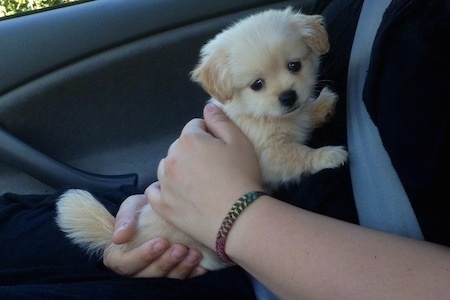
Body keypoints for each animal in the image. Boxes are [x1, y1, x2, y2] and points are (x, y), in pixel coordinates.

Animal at [55, 7, 344, 270]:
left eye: (295, 65)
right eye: (257, 85)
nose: (288, 96)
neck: (263, 116)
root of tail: (129, 239)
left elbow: (306, 116)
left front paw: (322, 105)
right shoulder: (271, 155)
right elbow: (300, 155)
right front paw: (330, 155)